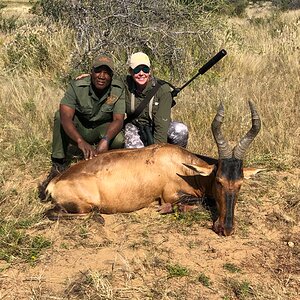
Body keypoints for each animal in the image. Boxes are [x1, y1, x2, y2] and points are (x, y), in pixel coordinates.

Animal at [45, 101, 262, 237]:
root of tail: (55, 182)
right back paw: (98, 218)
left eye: (240, 183)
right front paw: (166, 209)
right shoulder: (170, 195)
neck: (180, 164)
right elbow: (199, 201)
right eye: (219, 181)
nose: (226, 229)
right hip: (85, 205)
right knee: (53, 213)